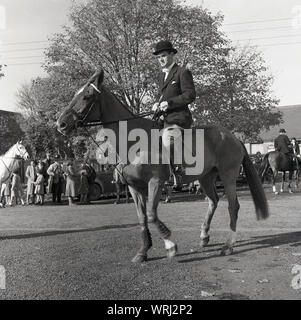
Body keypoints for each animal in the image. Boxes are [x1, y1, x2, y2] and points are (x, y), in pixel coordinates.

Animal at [55, 70, 268, 262]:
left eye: (87, 95)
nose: (60, 124)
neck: (134, 142)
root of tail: (232, 136)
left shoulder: (155, 182)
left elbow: (151, 214)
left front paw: (170, 244)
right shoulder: (134, 188)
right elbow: (142, 218)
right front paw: (143, 251)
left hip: (228, 175)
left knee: (233, 206)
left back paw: (228, 245)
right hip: (206, 177)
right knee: (213, 201)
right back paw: (204, 236)